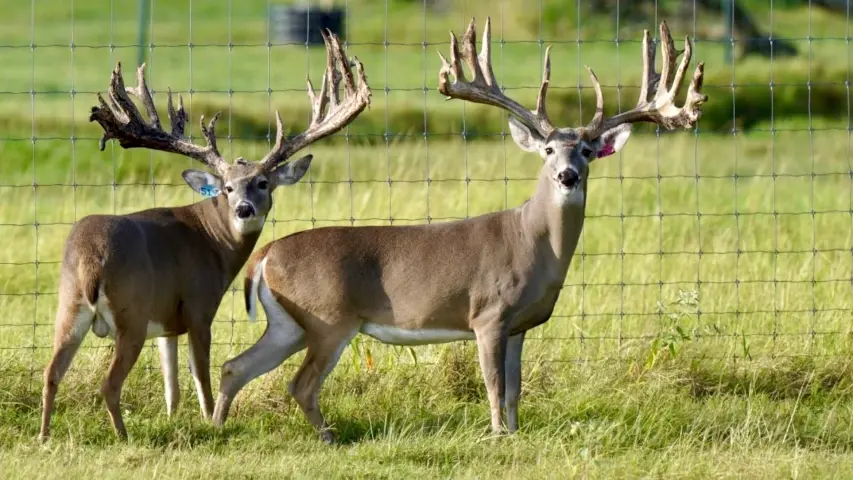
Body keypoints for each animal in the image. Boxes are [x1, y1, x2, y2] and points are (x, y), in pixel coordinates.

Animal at [37, 31, 370, 440]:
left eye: (262, 183)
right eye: (227, 187)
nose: (244, 209)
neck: (212, 242)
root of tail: (89, 258)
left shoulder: (166, 322)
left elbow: (172, 382)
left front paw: (172, 418)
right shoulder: (199, 305)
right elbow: (201, 376)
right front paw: (211, 420)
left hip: (68, 305)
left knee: (51, 373)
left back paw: (44, 436)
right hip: (130, 312)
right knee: (109, 383)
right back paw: (122, 435)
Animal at [213, 18, 704, 442]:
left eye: (585, 150)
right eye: (548, 150)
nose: (567, 176)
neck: (533, 245)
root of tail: (265, 255)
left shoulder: (520, 325)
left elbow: (515, 389)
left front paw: (514, 433)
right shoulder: (489, 313)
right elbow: (493, 385)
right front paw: (497, 436)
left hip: (289, 325)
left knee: (235, 366)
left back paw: (217, 427)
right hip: (328, 319)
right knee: (300, 383)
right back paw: (329, 437)